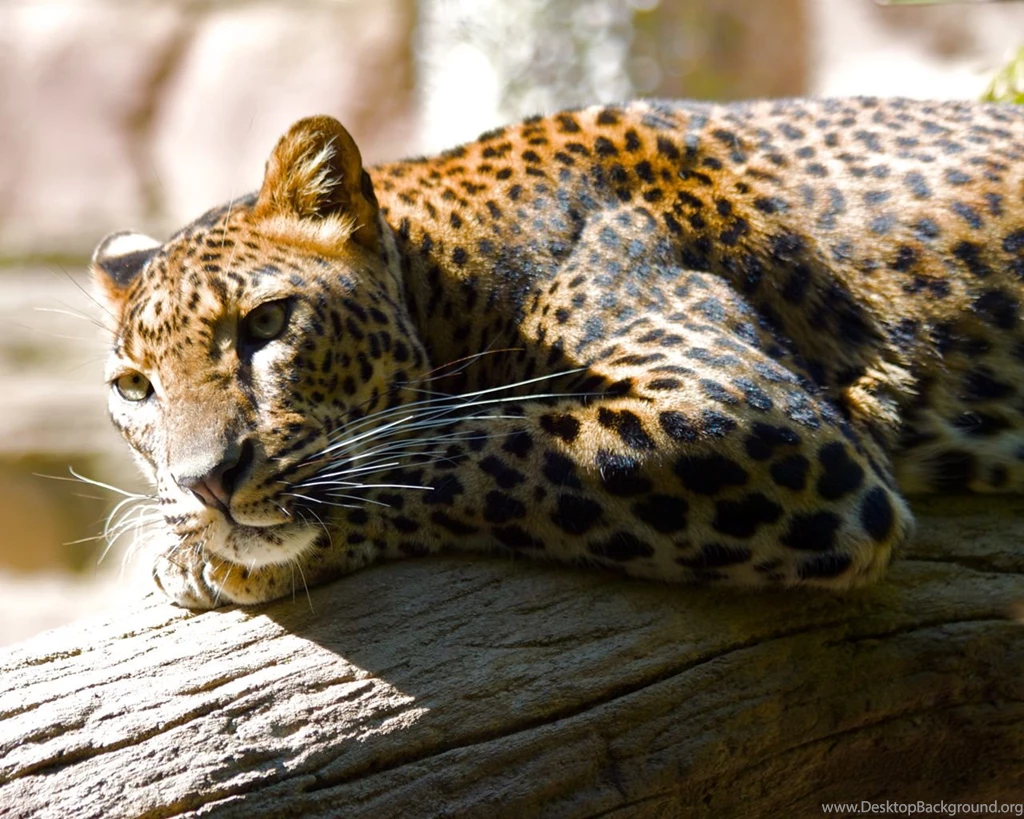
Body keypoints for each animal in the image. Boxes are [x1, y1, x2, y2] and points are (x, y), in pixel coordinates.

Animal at [90, 97, 1024, 610]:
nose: (205, 482)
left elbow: (481, 446)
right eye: (135, 388)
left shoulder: (753, 414)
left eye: (267, 323)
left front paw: (209, 557)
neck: (454, 275)